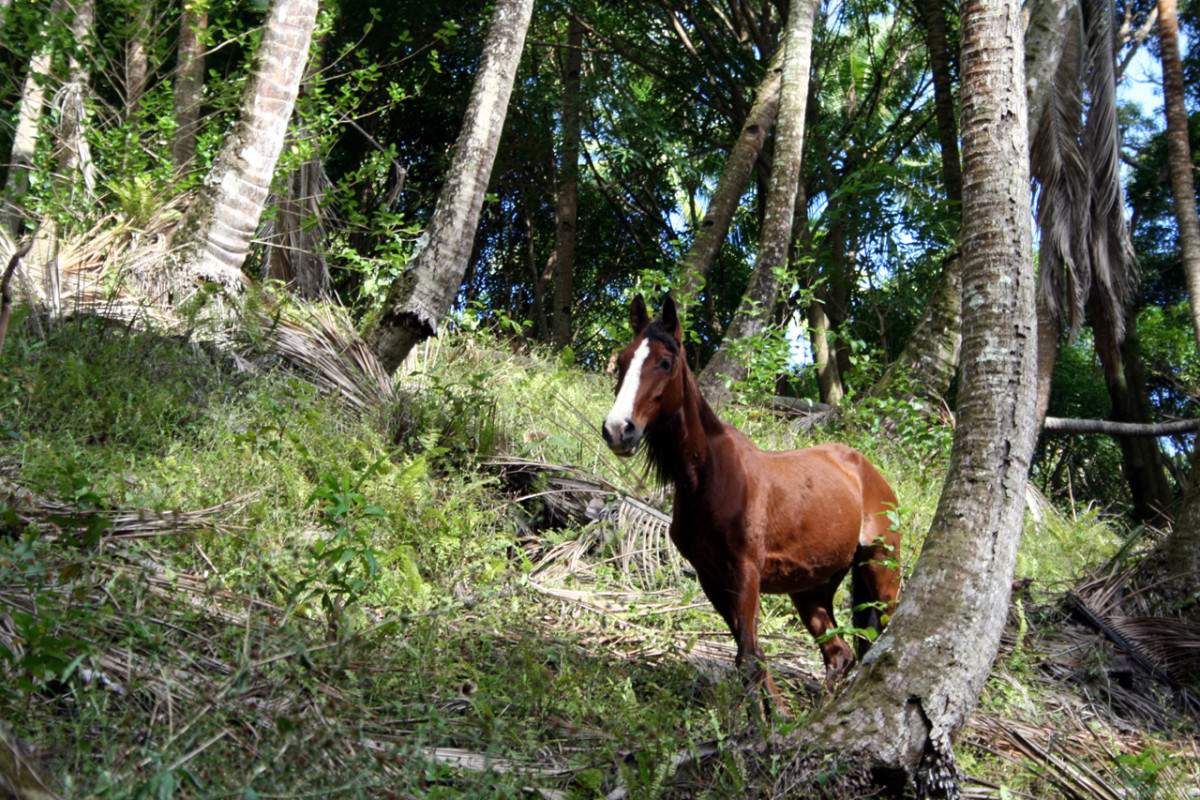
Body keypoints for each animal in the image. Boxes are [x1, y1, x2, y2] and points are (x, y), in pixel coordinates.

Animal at [600, 293, 902, 714]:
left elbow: (749, 657)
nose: (618, 430)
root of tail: (868, 471)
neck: (708, 476)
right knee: (840, 655)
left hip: (881, 570)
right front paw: (768, 720)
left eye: (665, 362)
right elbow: (751, 658)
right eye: (626, 358)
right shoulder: (712, 578)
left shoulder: (745, 574)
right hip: (811, 589)